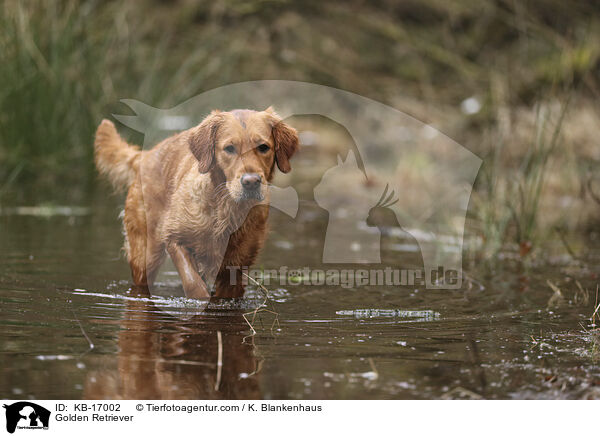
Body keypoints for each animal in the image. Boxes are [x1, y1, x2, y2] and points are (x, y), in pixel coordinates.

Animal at [94, 109, 298, 300]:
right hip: (146, 254)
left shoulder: (236, 265)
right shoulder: (174, 237)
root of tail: (145, 156)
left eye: (263, 147)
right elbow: (193, 283)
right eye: (229, 148)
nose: (251, 182)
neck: (224, 208)